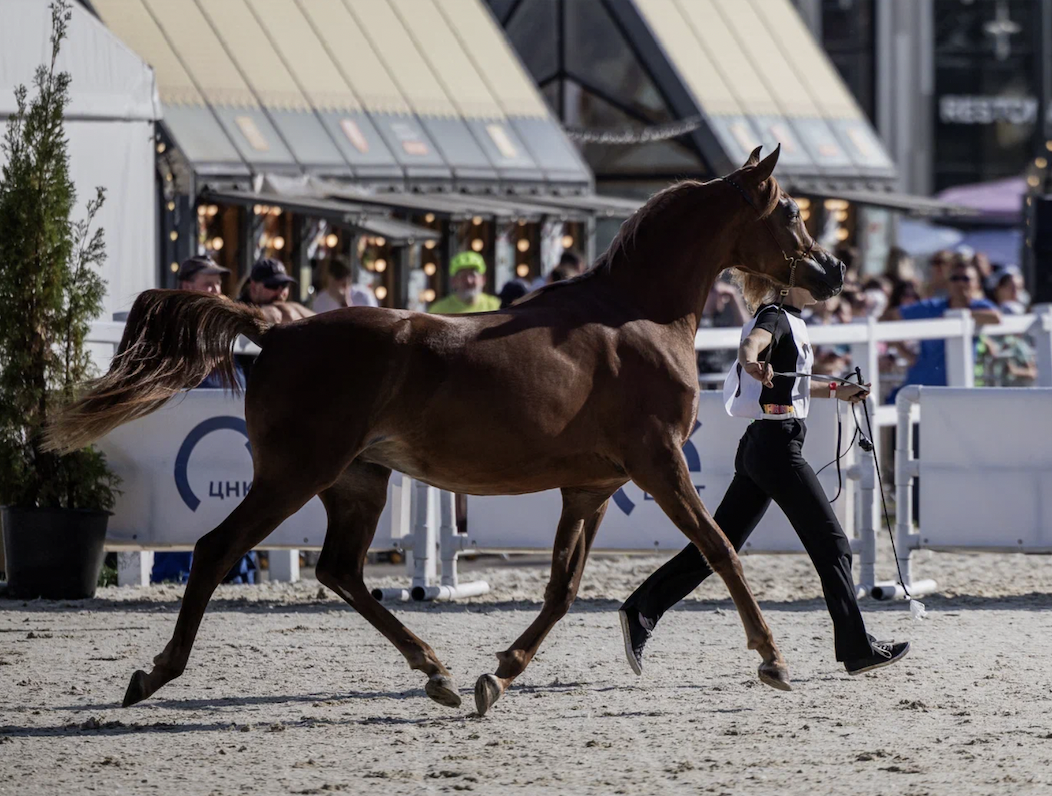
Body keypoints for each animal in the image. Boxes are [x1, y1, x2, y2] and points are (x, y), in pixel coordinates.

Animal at [47, 146, 845, 710]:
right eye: (789, 211)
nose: (833, 271)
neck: (634, 316)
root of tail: (274, 332)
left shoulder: (590, 487)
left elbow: (562, 589)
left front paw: (500, 676)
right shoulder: (658, 462)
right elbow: (719, 549)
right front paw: (773, 659)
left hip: (358, 480)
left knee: (340, 570)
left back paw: (437, 673)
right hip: (296, 474)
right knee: (217, 550)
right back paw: (155, 675)